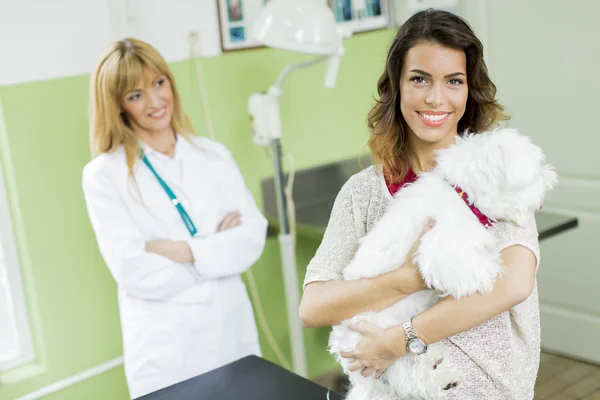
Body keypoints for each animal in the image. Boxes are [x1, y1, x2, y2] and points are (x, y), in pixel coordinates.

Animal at [328, 129, 556, 400]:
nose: (551, 178)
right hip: (383, 341)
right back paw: (443, 380)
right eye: (536, 170)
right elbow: (471, 269)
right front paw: (490, 271)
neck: (463, 196)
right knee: (411, 380)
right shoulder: (439, 249)